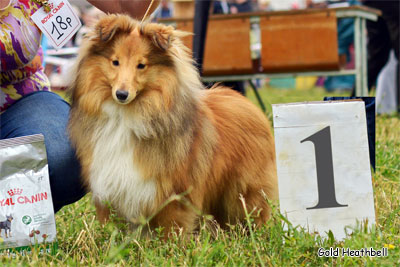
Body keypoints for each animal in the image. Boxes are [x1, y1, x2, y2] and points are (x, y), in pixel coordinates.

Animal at [68, 15, 278, 237]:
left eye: (141, 65)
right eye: (115, 62)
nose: (122, 94)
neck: (127, 115)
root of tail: (249, 105)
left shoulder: (173, 192)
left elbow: (171, 228)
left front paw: (170, 244)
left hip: (243, 190)